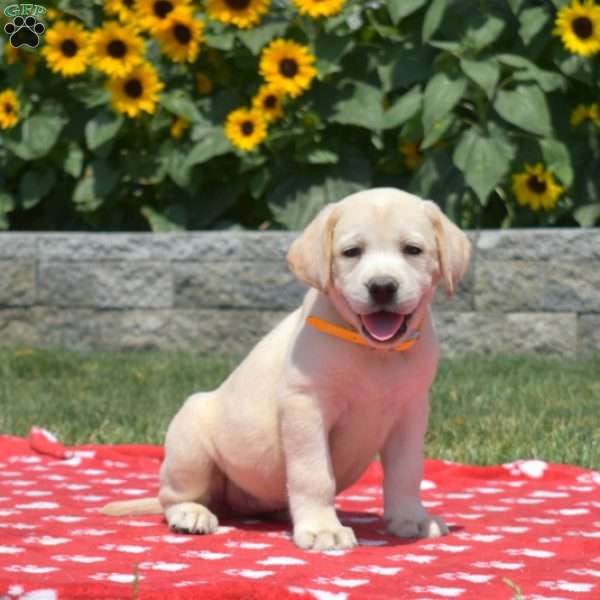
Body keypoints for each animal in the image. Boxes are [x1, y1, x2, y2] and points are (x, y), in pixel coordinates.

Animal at [102, 189, 468, 552]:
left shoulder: (410, 411)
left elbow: (407, 471)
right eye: (352, 252)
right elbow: (314, 474)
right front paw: (323, 529)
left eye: (413, 250)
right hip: (189, 444)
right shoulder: (305, 407)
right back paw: (191, 514)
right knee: (174, 496)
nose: (381, 286)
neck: (374, 352)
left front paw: (411, 518)